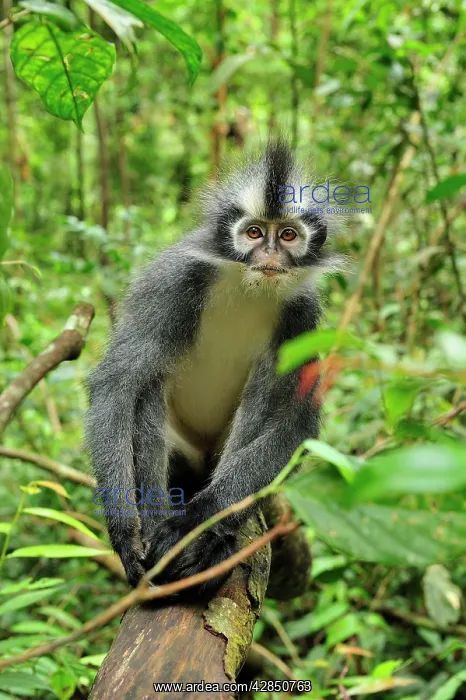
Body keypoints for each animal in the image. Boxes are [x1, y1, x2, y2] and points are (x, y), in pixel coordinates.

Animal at [86, 139, 341, 591]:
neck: (247, 285)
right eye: (254, 233)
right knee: (150, 381)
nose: (270, 255)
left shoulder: (302, 315)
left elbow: (298, 424)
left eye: (287, 235)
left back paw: (213, 543)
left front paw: (200, 520)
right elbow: (116, 382)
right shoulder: (176, 280)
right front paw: (125, 534)